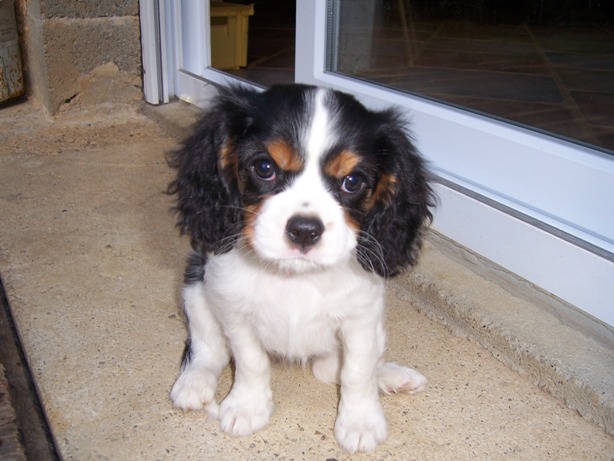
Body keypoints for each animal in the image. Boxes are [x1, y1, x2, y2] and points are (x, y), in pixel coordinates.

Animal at [168, 84, 436, 452]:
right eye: (264, 166)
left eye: (352, 181)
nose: (305, 230)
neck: (296, 277)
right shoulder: (234, 310)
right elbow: (250, 361)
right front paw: (247, 407)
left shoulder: (362, 316)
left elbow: (357, 371)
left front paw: (361, 420)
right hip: (196, 283)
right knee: (210, 349)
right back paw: (194, 382)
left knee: (338, 368)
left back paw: (392, 375)